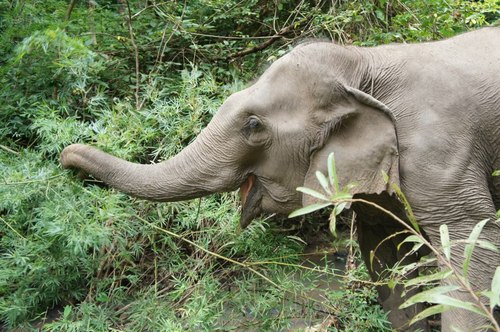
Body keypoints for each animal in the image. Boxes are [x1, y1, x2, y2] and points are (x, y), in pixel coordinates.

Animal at [62, 29, 500, 332]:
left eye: (253, 126)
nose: (67, 158)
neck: (363, 63)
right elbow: (388, 254)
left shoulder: (440, 152)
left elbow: (472, 244)